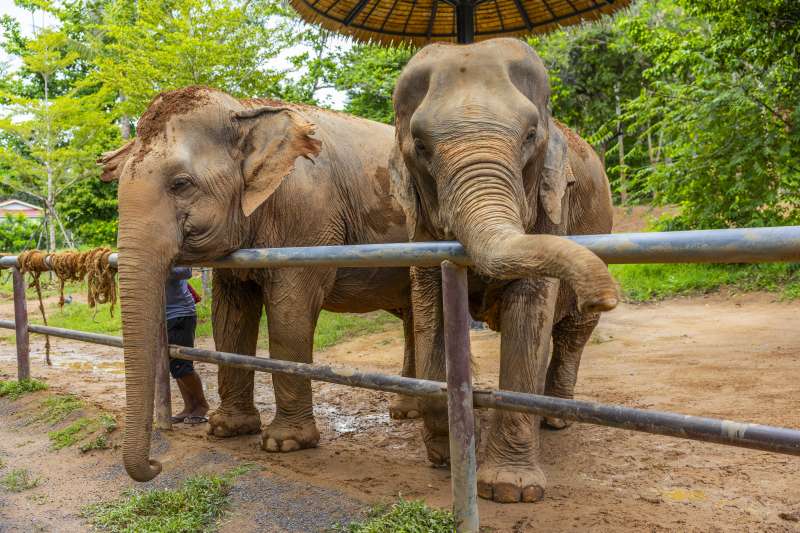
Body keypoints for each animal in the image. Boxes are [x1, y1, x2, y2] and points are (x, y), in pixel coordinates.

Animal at [100, 86, 420, 482]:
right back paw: (407, 411)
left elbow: (289, 312)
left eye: (181, 184)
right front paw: (225, 429)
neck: (246, 110)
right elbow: (229, 316)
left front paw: (285, 443)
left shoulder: (309, 217)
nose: (157, 464)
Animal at [389, 38, 618, 503]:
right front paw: (447, 453)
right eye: (420, 146)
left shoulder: (552, 206)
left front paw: (510, 491)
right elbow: (430, 307)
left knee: (571, 333)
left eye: (530, 136)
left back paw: (557, 419)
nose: (604, 296)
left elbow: (530, 309)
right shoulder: (417, 226)